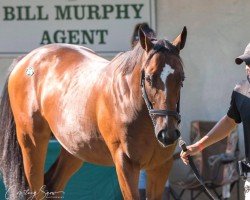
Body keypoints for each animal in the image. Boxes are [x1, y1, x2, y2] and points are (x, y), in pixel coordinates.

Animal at [0, 26, 187, 200]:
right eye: (149, 77)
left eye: (181, 78)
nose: (168, 133)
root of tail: (25, 60)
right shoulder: (125, 164)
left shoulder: (160, 166)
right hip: (31, 142)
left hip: (74, 148)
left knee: (52, 184)